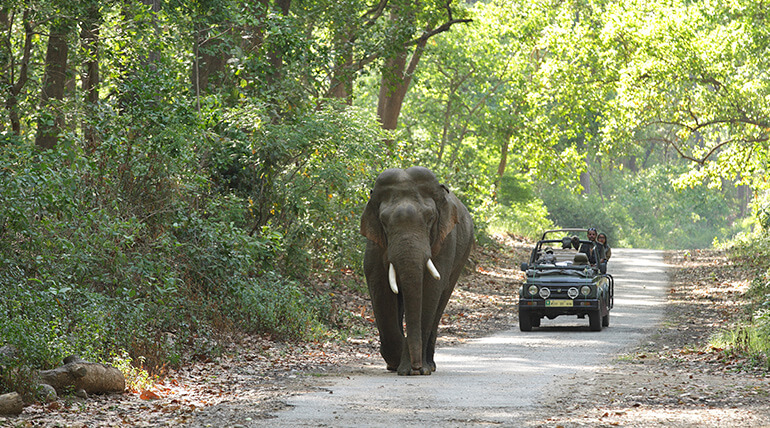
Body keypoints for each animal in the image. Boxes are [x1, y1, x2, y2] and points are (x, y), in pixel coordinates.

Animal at [356, 167, 472, 374]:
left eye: (430, 218)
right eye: (383, 221)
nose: (417, 367)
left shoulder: (445, 241)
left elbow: (430, 289)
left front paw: (414, 370)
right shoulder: (375, 244)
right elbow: (380, 288)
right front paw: (398, 362)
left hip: (462, 255)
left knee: (440, 302)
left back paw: (429, 365)